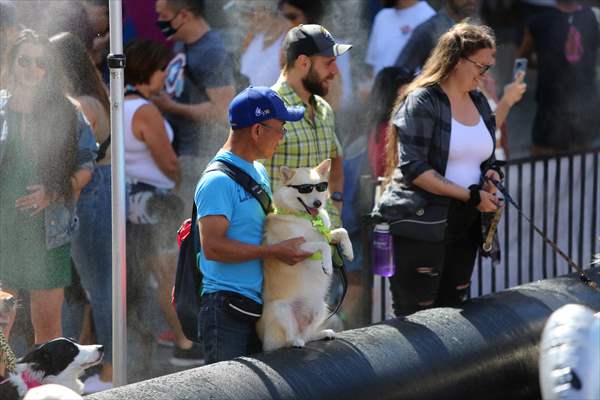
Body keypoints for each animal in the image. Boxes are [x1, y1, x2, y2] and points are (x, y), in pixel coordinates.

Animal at [256, 158, 352, 352]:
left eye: (321, 187)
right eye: (305, 189)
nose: (317, 204)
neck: (308, 219)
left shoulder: (326, 233)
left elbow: (340, 232)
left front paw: (348, 250)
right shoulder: (296, 247)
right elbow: (323, 245)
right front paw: (327, 265)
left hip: (321, 307)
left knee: (307, 335)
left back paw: (322, 333)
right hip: (281, 309)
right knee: (289, 339)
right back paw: (295, 342)